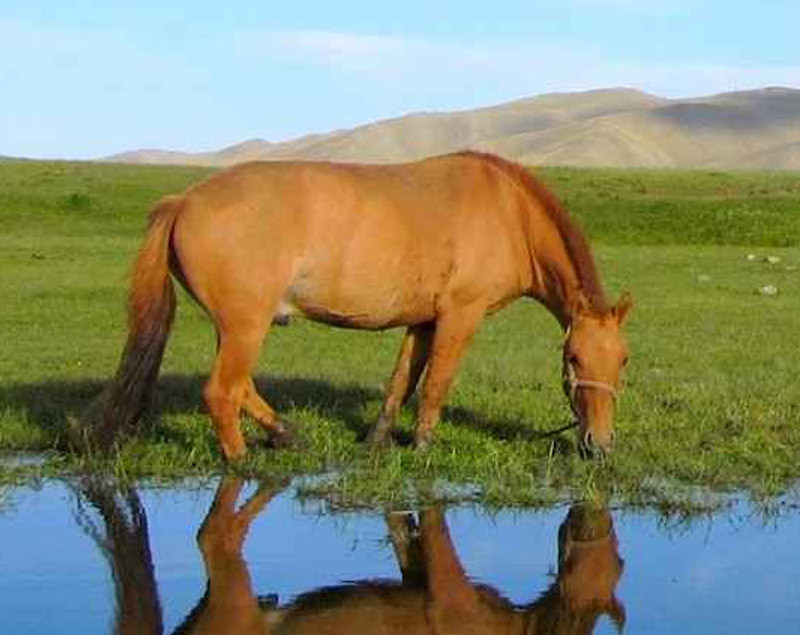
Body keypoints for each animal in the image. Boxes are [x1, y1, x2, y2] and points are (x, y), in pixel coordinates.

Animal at [90, 150, 632, 458]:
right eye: (573, 357)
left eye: (623, 361)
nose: (600, 445)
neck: (509, 213)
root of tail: (183, 201)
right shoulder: (461, 315)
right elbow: (436, 383)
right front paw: (423, 445)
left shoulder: (424, 321)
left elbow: (402, 381)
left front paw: (377, 440)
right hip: (246, 325)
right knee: (222, 392)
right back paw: (241, 461)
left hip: (239, 326)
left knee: (241, 387)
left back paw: (285, 435)